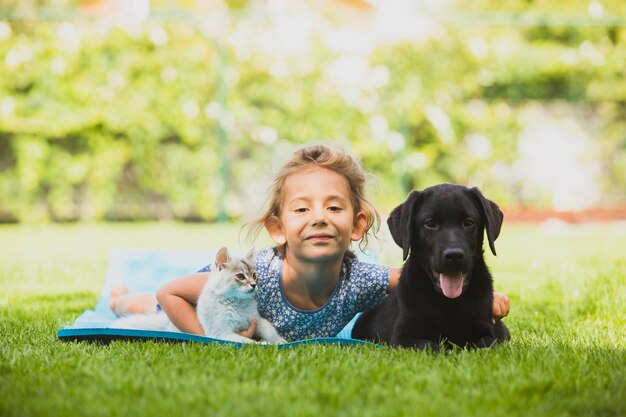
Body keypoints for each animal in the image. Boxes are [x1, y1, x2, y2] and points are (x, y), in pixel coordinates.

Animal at [110, 245, 286, 342]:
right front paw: (263, 344)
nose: (254, 285)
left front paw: (280, 341)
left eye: (255, 275)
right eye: (241, 277)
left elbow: (269, 330)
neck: (237, 303)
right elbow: (248, 342)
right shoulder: (223, 333)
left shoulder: (257, 320)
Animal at [352, 184, 508, 350]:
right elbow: (429, 346)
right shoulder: (403, 337)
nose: (454, 255)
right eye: (430, 223)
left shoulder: (485, 332)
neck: (449, 304)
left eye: (468, 222)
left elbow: (486, 344)